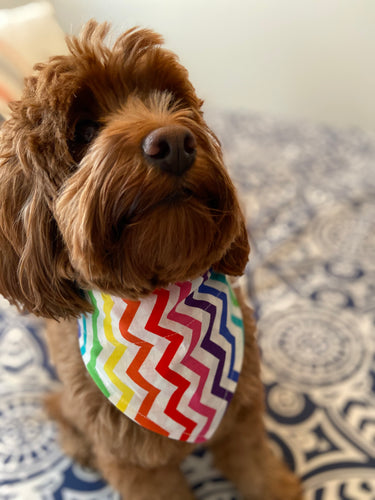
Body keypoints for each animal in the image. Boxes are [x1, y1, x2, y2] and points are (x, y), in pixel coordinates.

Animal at [0, 20, 302, 500]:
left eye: (174, 102)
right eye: (84, 130)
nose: (175, 141)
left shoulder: (242, 416)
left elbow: (257, 470)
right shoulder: (135, 462)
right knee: (61, 413)